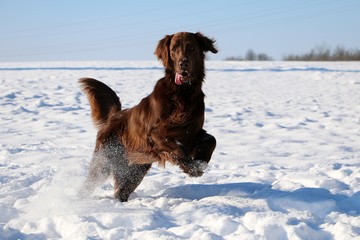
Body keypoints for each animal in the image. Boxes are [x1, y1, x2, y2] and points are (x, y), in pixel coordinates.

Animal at [79, 31, 217, 201]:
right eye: (174, 49)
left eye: (191, 47)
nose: (183, 63)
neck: (183, 94)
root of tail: (113, 116)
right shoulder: (156, 135)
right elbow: (177, 149)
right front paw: (193, 168)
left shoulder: (192, 131)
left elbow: (211, 140)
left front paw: (201, 161)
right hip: (104, 161)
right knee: (87, 186)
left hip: (136, 169)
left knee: (120, 192)